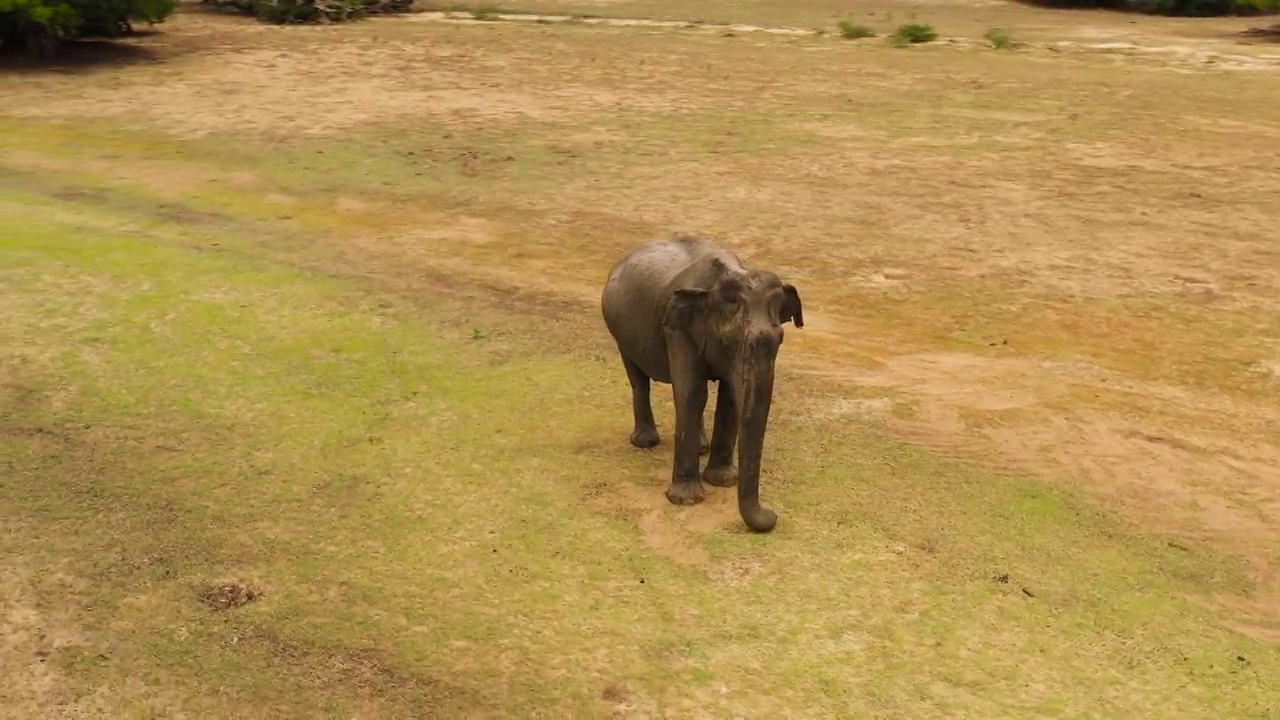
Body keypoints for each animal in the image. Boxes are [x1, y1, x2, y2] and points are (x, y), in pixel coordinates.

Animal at [596, 233, 798, 530]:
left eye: (780, 340)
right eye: (729, 342)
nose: (773, 516)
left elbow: (727, 396)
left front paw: (723, 481)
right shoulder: (676, 329)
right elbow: (692, 392)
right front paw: (685, 500)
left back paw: (701, 447)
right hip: (619, 332)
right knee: (639, 379)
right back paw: (645, 442)